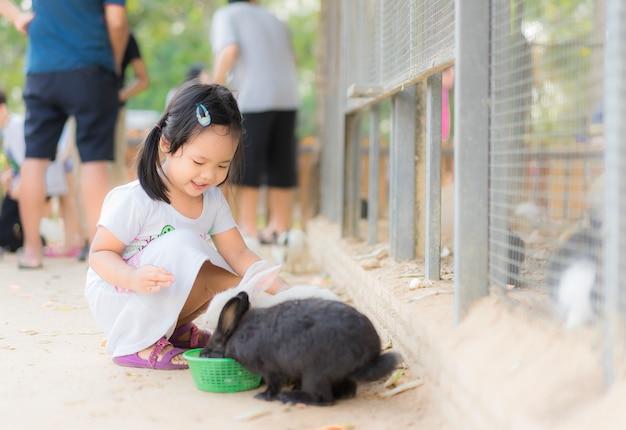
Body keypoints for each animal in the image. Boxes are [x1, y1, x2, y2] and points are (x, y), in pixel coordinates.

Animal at [200, 290, 400, 404]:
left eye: (206, 355)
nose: (201, 355)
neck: (232, 336)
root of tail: (369, 356)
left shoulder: (270, 369)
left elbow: (273, 385)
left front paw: (263, 396)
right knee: (347, 389)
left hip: (315, 374)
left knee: (324, 399)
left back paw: (290, 398)